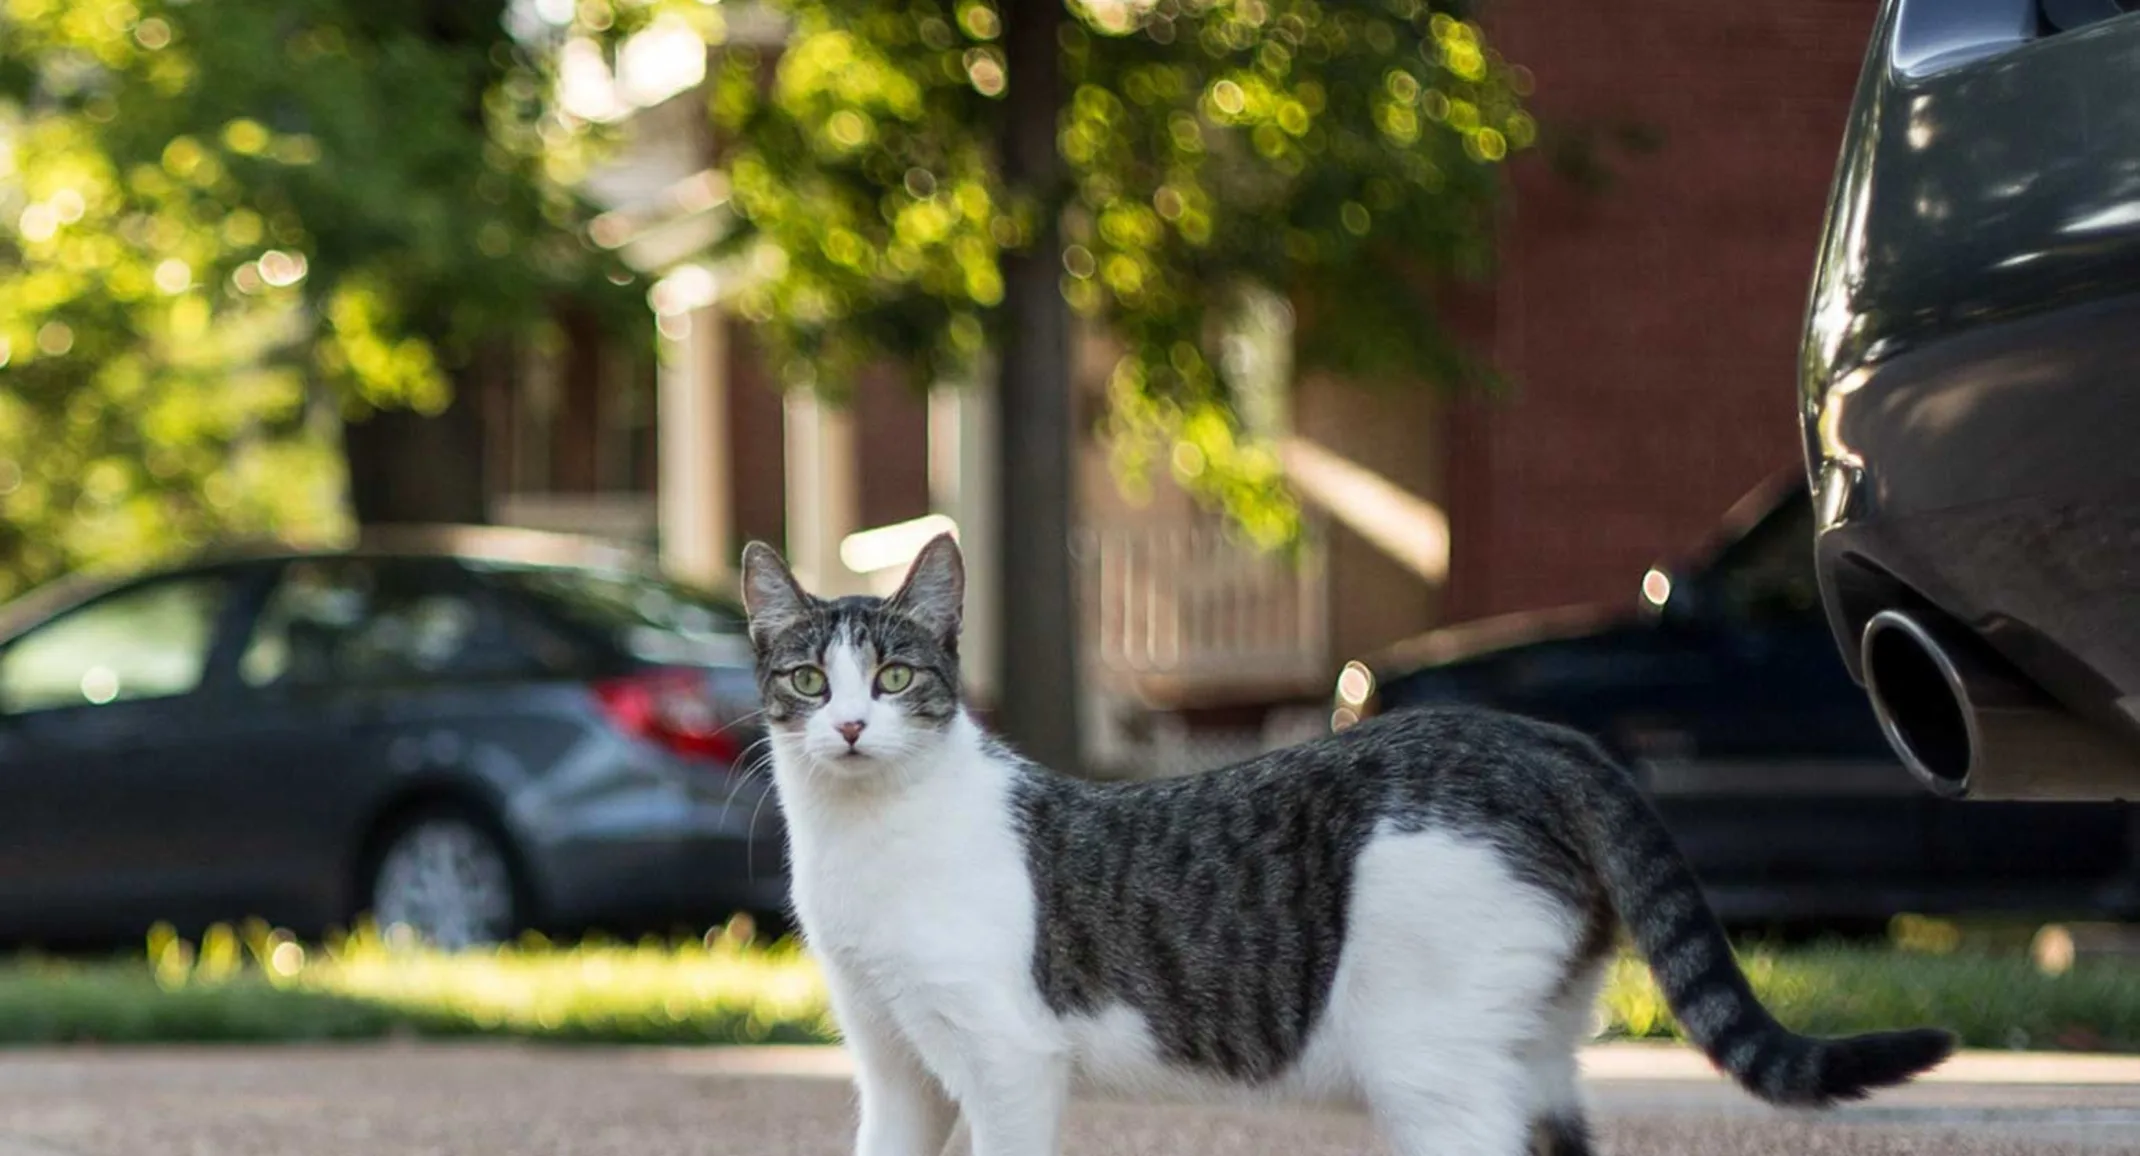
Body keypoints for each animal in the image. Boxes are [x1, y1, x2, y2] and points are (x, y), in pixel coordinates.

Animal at [740, 535, 1960, 1156]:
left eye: (896, 677)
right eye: (807, 681)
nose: (849, 727)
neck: (865, 841)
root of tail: (1536, 739)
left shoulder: (1005, 1060)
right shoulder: (894, 1065)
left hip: (1431, 1069)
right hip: (1530, 1048)